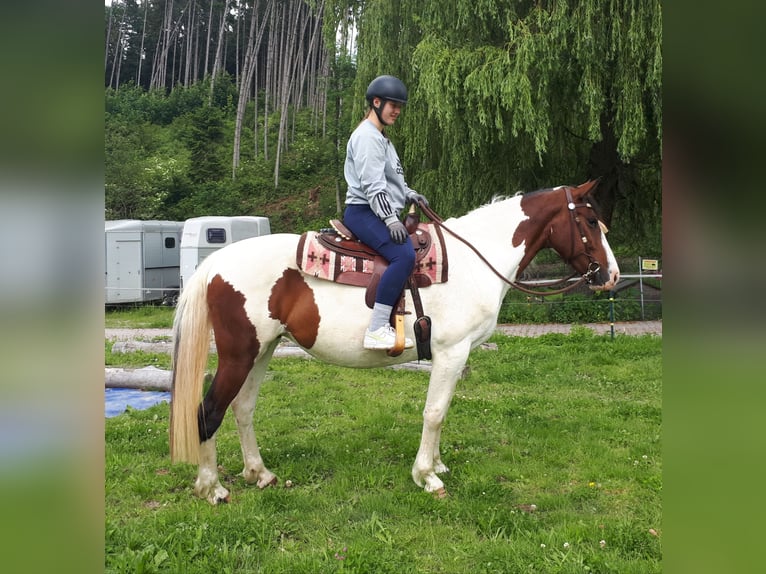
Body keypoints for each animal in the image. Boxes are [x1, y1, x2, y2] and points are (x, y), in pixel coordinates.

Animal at [171, 180, 620, 504]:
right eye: (590, 222)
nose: (611, 275)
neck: (472, 261)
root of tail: (214, 263)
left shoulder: (454, 357)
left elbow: (442, 411)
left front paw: (437, 465)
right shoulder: (451, 352)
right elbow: (434, 413)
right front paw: (426, 477)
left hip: (262, 351)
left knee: (243, 408)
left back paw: (259, 474)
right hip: (239, 354)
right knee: (208, 412)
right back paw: (212, 489)